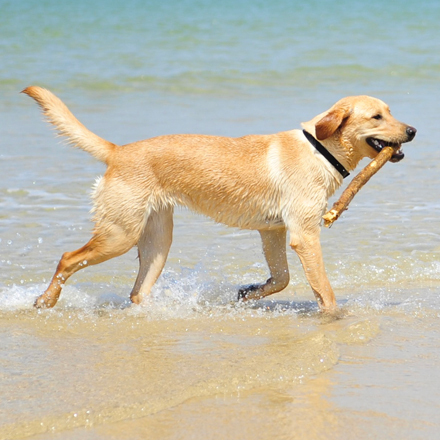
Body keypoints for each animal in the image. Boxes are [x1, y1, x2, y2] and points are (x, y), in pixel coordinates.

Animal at [24, 87, 416, 312]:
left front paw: (249, 292)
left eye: (391, 111)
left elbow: (281, 279)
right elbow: (324, 290)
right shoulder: (304, 235)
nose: (412, 130)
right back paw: (46, 301)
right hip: (119, 235)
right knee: (67, 258)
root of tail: (117, 151)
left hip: (156, 241)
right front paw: (335, 317)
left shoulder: (272, 232)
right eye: (377, 116)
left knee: (137, 292)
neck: (320, 149)